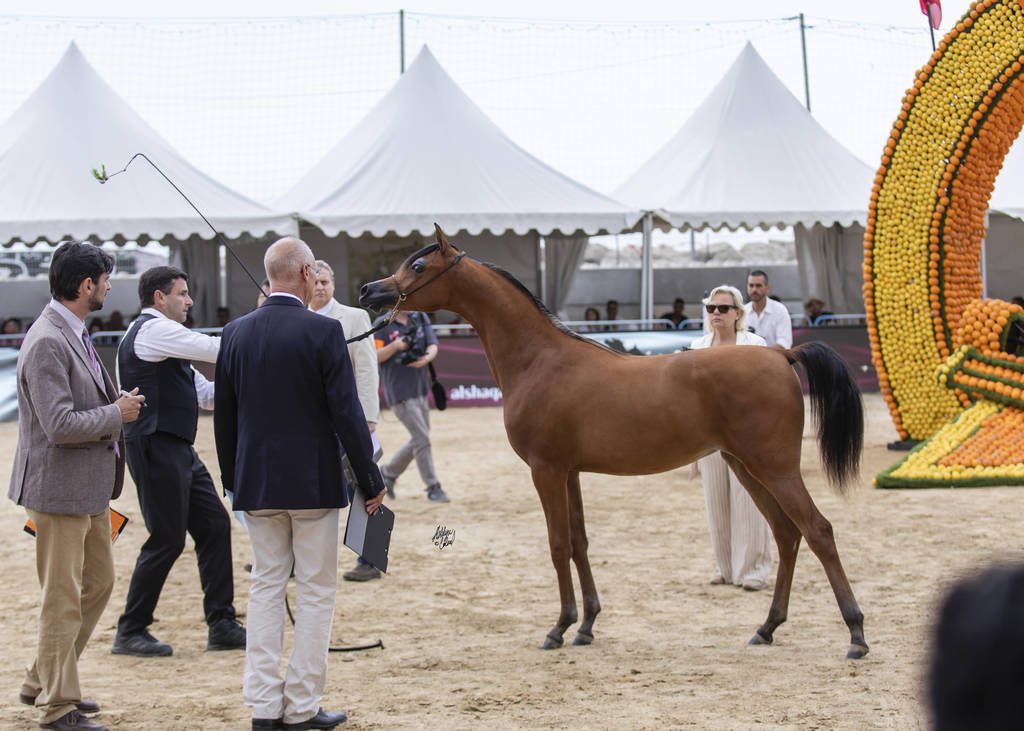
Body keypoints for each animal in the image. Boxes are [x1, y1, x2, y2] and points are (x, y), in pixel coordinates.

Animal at [359, 225, 868, 660]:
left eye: (418, 266)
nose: (369, 291)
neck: (540, 359)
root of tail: (782, 353)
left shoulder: (545, 470)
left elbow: (557, 544)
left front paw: (558, 627)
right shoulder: (569, 472)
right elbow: (580, 542)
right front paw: (586, 625)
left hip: (774, 468)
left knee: (818, 531)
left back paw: (856, 634)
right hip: (745, 467)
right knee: (787, 535)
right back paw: (767, 627)